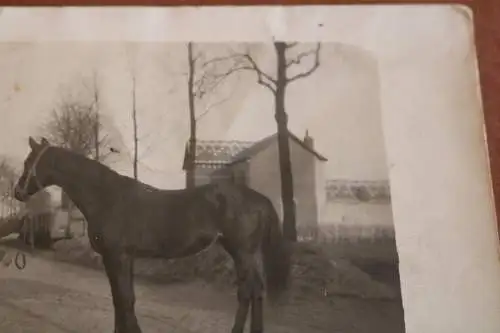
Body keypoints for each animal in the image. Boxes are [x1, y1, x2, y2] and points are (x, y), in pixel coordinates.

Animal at [13, 136, 292, 330]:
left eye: (28, 162)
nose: (17, 192)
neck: (106, 197)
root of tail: (258, 198)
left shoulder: (118, 256)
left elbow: (125, 299)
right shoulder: (118, 258)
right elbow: (120, 299)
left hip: (243, 251)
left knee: (249, 291)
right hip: (239, 250)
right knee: (254, 290)